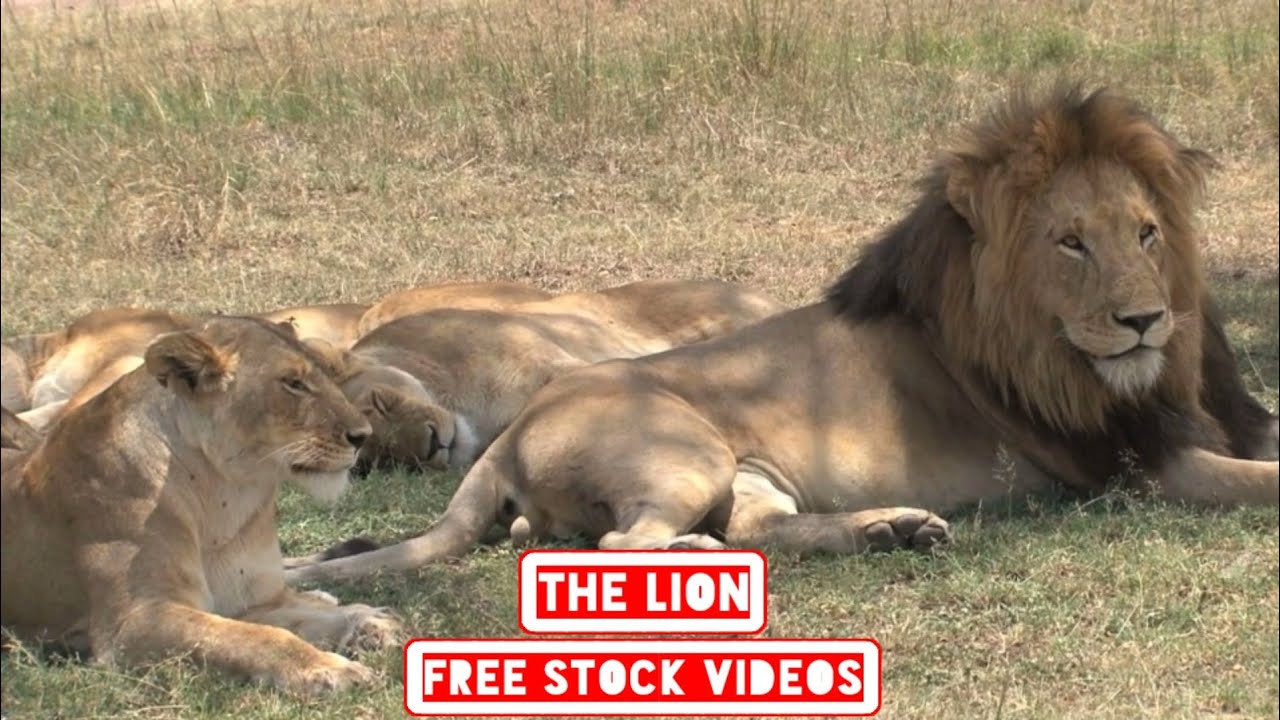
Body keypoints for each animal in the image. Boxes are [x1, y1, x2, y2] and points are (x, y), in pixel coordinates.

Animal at [1, 316, 401, 694]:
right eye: (293, 383)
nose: (362, 436)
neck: (224, 494)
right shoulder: (134, 621)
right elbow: (260, 638)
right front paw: (328, 667)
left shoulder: (254, 601)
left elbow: (296, 618)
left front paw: (366, 624)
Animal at [285, 86, 1279, 584]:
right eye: (1071, 243)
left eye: (1146, 234)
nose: (1145, 318)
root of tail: (516, 428)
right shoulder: (1138, 466)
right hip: (685, 455)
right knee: (616, 548)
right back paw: (710, 554)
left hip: (746, 474)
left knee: (757, 531)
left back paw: (889, 533)